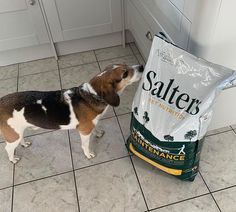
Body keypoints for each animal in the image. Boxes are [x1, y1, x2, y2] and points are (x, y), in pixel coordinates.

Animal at [0, 63, 143, 163]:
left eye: (125, 64)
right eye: (125, 74)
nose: (141, 67)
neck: (92, 94)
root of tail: (1, 101)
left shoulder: (91, 125)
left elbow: (95, 128)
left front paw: (97, 133)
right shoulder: (84, 132)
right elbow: (85, 145)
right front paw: (88, 154)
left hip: (17, 132)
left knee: (20, 139)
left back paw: (24, 144)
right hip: (13, 135)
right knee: (8, 148)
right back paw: (13, 159)